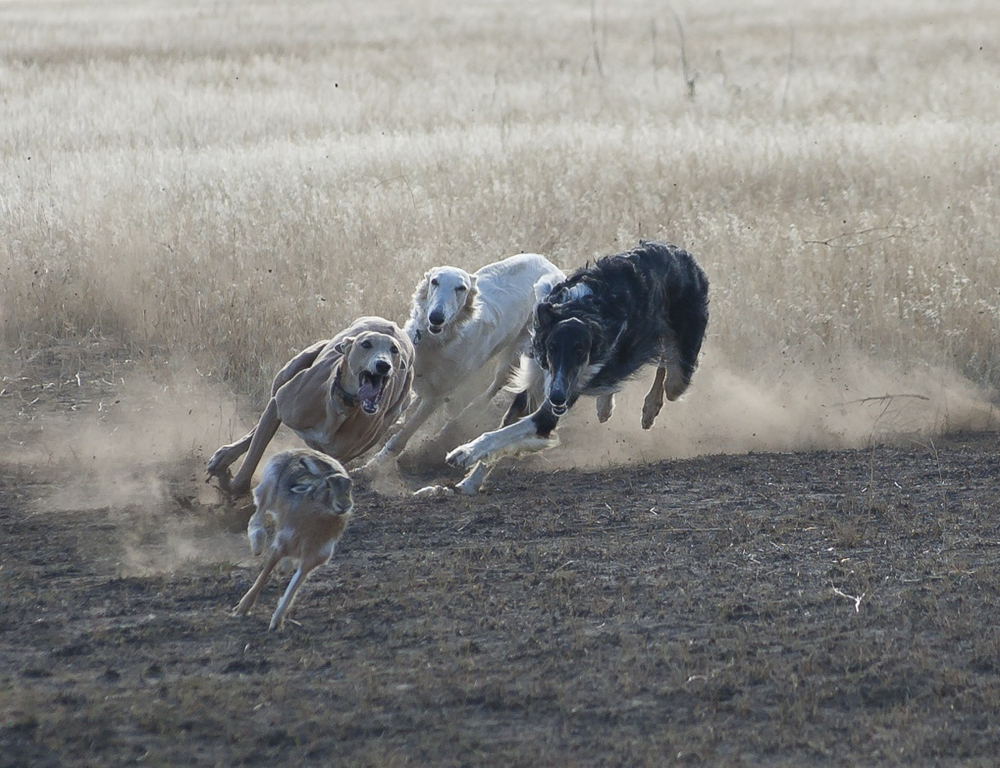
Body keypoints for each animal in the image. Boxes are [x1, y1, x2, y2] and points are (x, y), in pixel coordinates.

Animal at [207, 316, 414, 496]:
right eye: (366, 344)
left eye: (394, 350)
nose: (383, 365)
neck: (341, 406)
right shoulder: (280, 404)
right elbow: (253, 455)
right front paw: (234, 488)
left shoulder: (337, 455)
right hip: (291, 370)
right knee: (260, 424)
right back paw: (225, 456)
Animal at [232, 450, 354, 632]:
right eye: (327, 486)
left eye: (349, 487)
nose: (344, 505)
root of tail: (295, 451)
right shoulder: (282, 543)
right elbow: (265, 573)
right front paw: (242, 607)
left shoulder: (312, 558)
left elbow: (293, 587)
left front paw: (276, 622)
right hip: (269, 487)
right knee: (258, 513)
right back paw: (257, 543)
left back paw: (284, 567)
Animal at [362, 252, 568, 486]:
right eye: (435, 281)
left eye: (460, 288)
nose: (436, 317)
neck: (437, 342)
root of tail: (550, 265)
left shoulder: (438, 395)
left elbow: (404, 434)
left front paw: (373, 465)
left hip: (515, 360)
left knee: (489, 392)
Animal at [446, 240, 712, 492]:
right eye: (552, 348)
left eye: (580, 351)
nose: (557, 398)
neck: (580, 309)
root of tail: (682, 254)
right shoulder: (537, 381)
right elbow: (504, 428)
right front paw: (471, 482)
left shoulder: (551, 408)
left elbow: (499, 435)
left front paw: (464, 453)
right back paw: (607, 405)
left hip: (678, 371)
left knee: (667, 369)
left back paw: (649, 408)